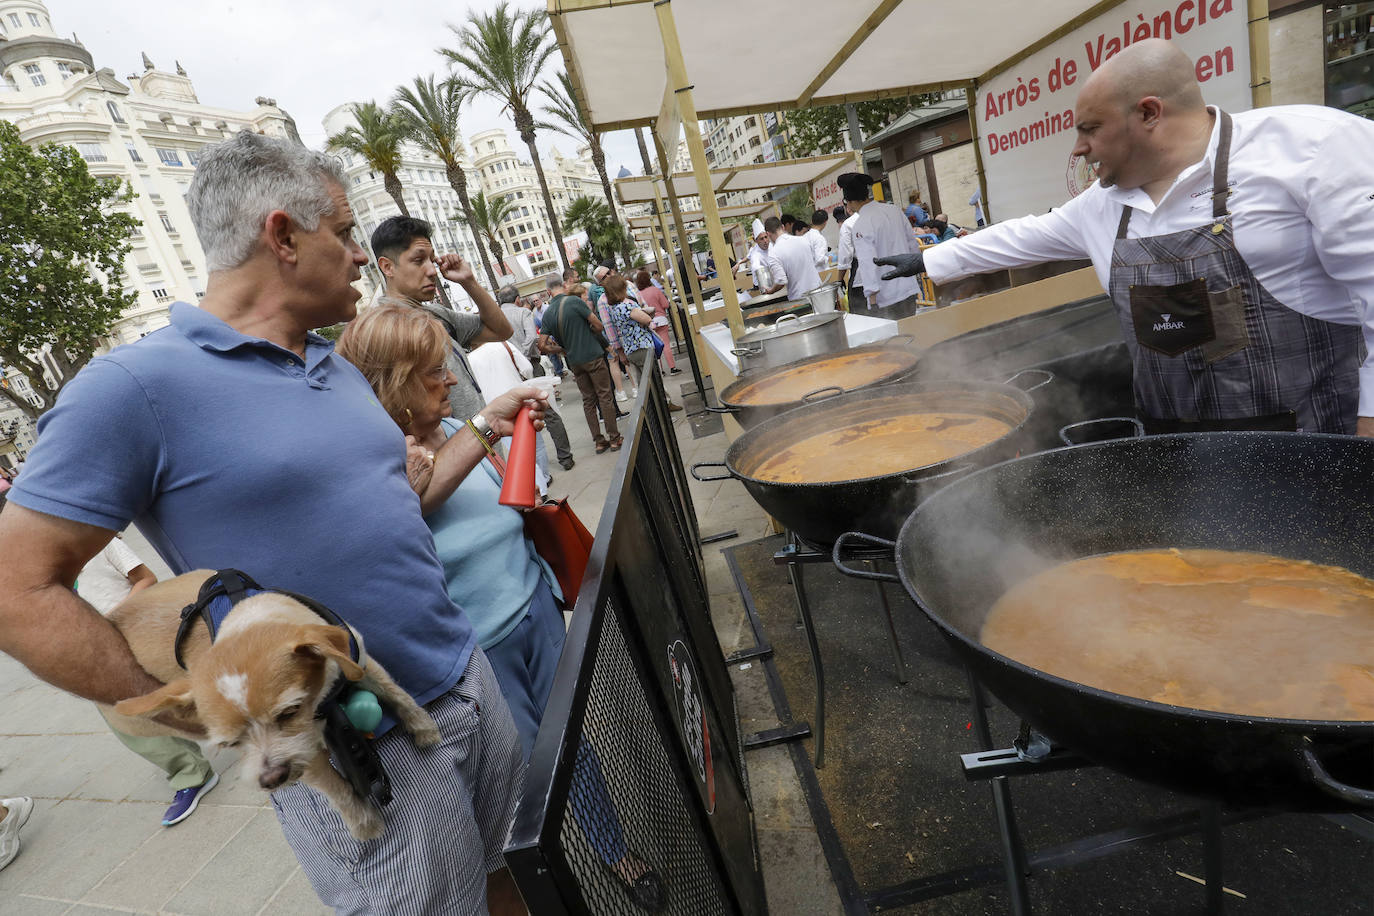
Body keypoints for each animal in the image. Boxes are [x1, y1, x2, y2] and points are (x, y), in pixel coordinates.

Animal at [104, 568, 436, 840]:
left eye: (289, 712)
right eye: (231, 743)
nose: (271, 779)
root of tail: (113, 615)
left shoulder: (360, 660)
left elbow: (396, 694)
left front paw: (424, 729)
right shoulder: (303, 751)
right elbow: (335, 786)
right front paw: (364, 823)